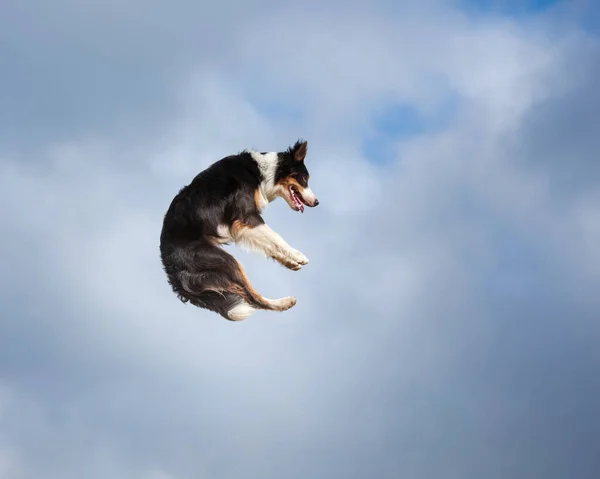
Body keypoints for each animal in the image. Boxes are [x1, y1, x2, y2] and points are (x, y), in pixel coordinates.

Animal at [159, 139, 318, 320]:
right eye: (304, 178)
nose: (316, 202)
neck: (262, 174)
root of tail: (168, 263)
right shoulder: (246, 218)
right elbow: (275, 236)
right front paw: (298, 256)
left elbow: (268, 244)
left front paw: (290, 262)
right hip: (224, 261)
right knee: (253, 298)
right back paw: (285, 302)